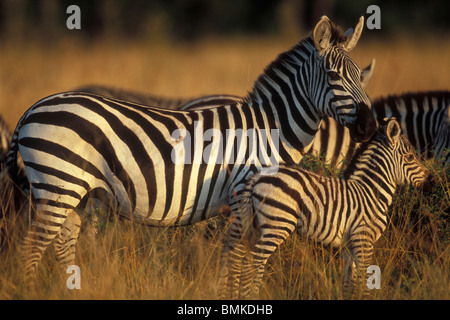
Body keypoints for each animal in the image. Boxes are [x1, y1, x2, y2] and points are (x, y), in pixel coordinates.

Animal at [6, 16, 376, 296]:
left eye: (362, 76)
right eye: (334, 76)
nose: (370, 125)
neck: (269, 128)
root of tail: (32, 109)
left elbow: (237, 255)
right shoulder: (243, 193)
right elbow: (236, 256)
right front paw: (230, 296)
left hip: (75, 193)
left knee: (61, 246)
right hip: (58, 185)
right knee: (30, 250)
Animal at [239, 118, 432, 298]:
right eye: (410, 157)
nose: (431, 181)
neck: (370, 191)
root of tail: (258, 177)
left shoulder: (349, 246)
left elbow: (349, 281)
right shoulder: (363, 239)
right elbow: (364, 281)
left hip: (259, 225)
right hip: (277, 224)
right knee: (252, 263)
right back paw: (250, 295)